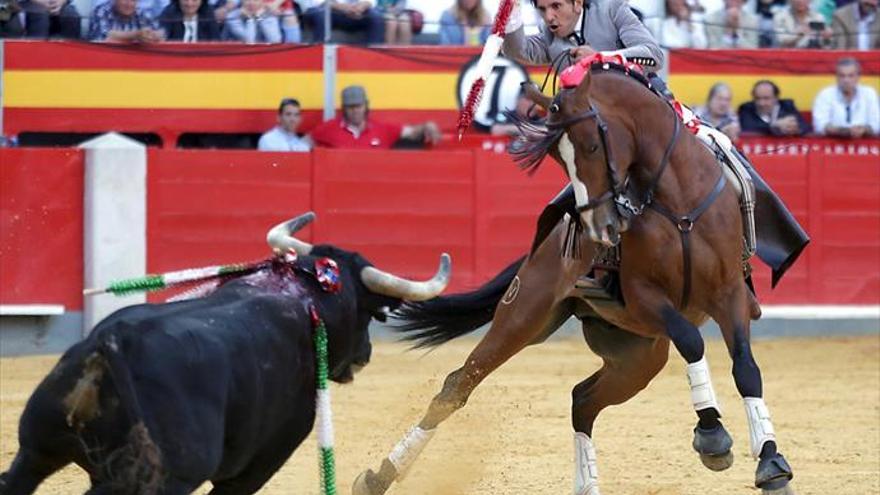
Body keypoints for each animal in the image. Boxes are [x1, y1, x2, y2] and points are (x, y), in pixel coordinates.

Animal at [0, 217, 450, 495]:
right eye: (375, 314)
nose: (366, 354)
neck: (302, 294)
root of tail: (110, 346)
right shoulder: (257, 464)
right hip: (154, 479)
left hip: (35, 450)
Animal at [352, 66, 796, 495]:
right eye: (558, 157)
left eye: (592, 146)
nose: (601, 228)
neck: (678, 202)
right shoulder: (644, 296)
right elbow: (691, 339)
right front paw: (712, 436)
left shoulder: (729, 292)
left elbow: (746, 367)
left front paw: (771, 464)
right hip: (525, 315)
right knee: (458, 385)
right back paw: (377, 477)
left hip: (639, 356)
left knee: (582, 399)